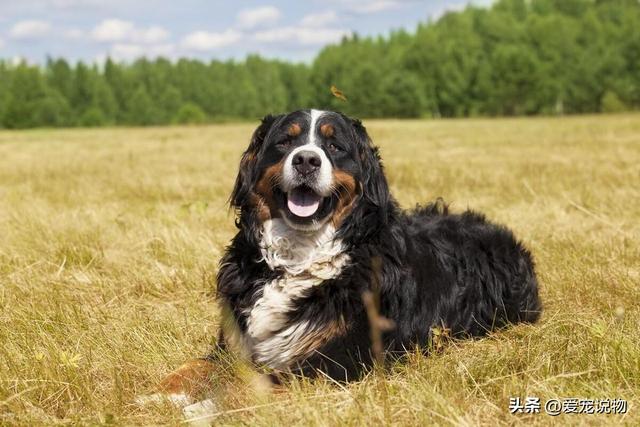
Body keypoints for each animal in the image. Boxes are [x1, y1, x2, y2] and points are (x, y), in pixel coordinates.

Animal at [152, 109, 544, 404]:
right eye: (285, 142)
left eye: (334, 145)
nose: (306, 160)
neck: (298, 258)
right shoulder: (234, 340)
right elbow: (193, 366)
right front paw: (158, 394)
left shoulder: (338, 360)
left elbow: (252, 386)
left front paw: (207, 407)